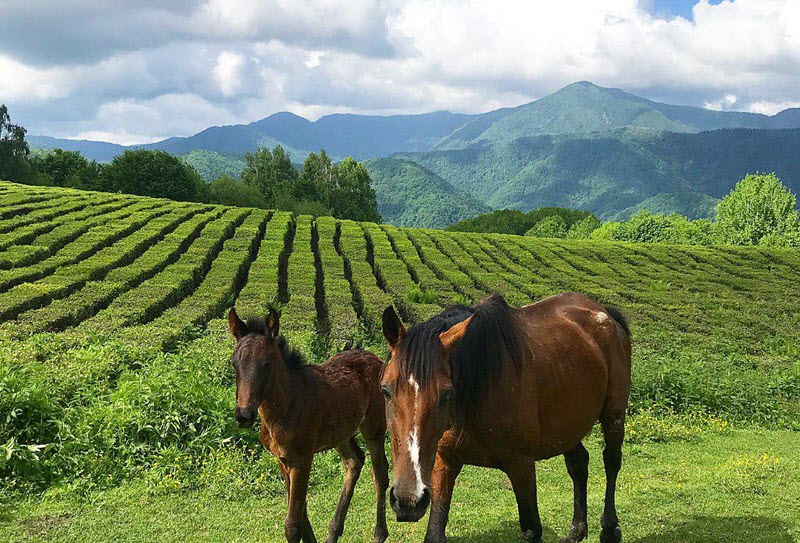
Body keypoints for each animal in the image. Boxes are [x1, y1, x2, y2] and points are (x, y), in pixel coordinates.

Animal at [227, 308, 390, 543]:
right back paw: (333, 532)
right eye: (234, 363)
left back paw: (379, 533)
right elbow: (301, 514)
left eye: (267, 362)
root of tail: (374, 357)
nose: (244, 415)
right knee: (354, 461)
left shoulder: (302, 458)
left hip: (373, 427)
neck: (286, 405)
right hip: (340, 432)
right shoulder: (283, 459)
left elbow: (293, 524)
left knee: (380, 473)